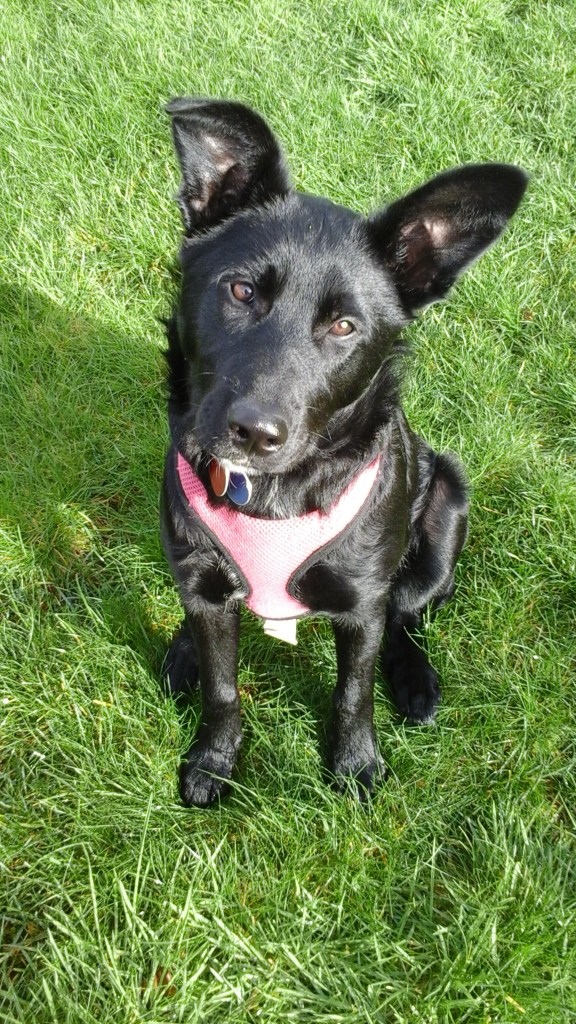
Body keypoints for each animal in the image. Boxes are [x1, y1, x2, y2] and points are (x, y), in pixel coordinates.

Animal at [160, 97, 527, 807]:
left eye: (344, 326)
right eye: (241, 291)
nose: (255, 432)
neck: (273, 493)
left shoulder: (360, 604)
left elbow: (354, 692)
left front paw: (354, 764)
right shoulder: (203, 583)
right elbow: (222, 687)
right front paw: (214, 759)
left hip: (445, 505)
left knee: (407, 615)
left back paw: (415, 681)